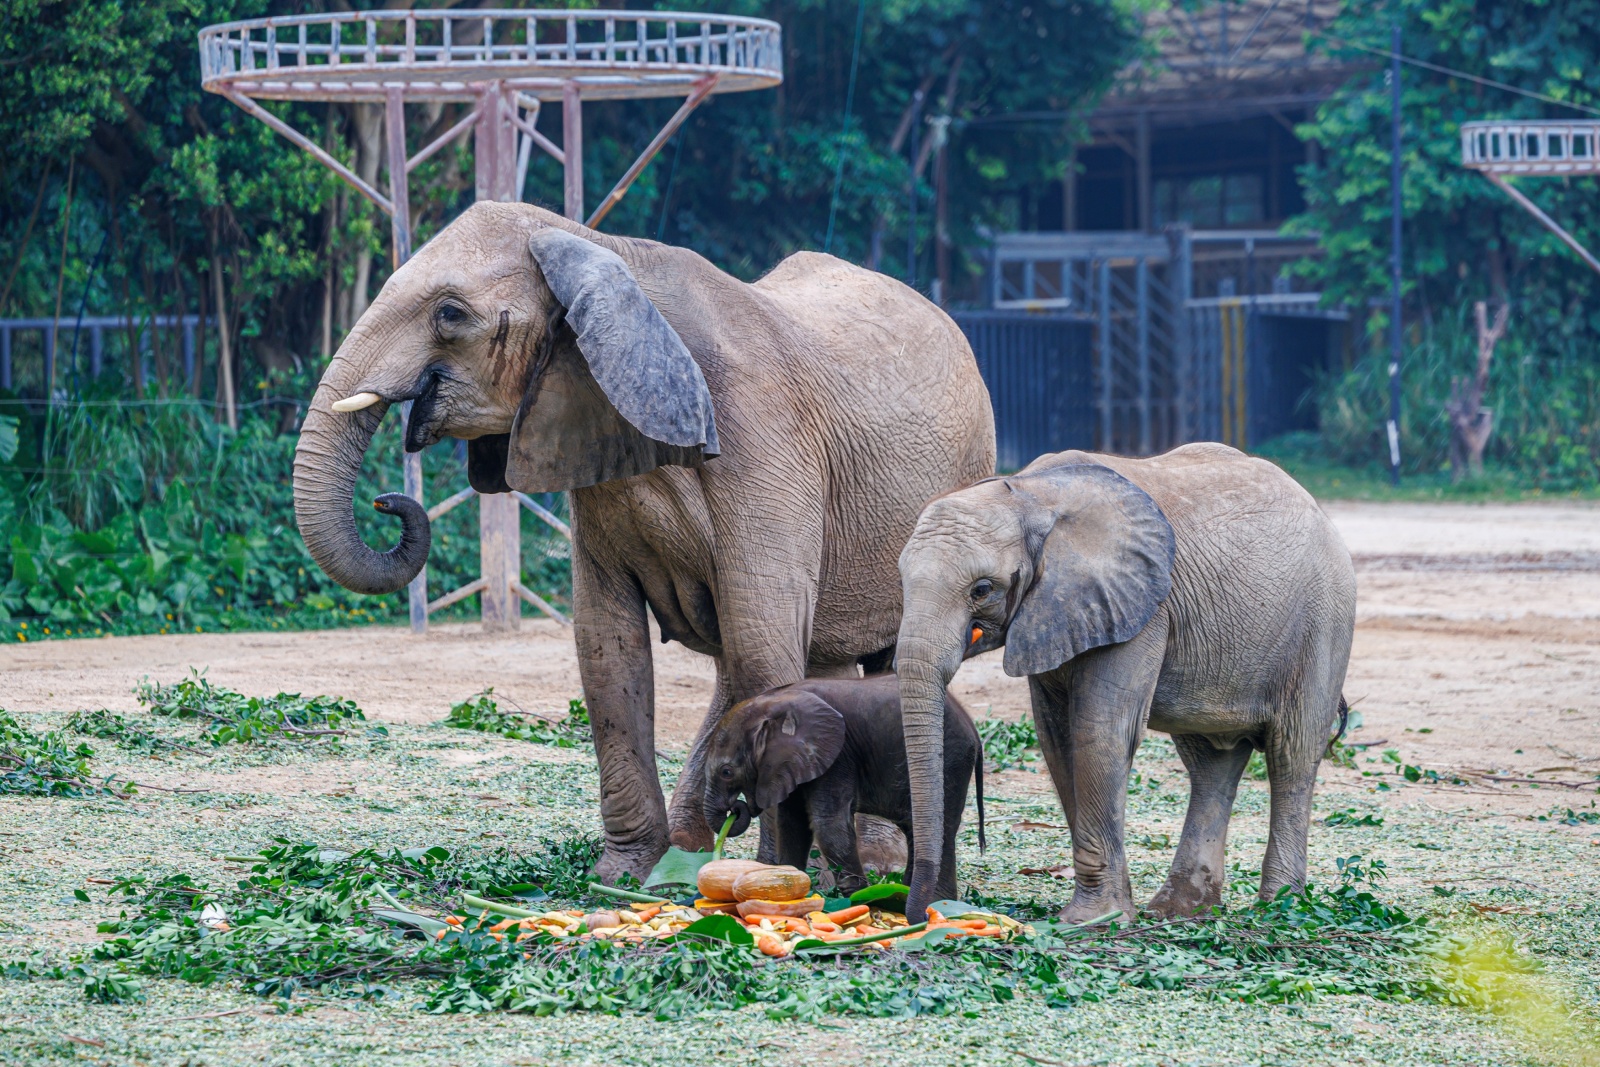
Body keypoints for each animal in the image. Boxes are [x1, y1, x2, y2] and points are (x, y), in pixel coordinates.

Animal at [700, 675, 984, 897]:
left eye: (726, 772)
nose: (736, 809)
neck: (773, 702)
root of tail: (972, 725)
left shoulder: (838, 755)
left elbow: (829, 825)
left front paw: (864, 899)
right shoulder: (793, 763)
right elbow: (792, 823)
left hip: (951, 759)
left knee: (941, 827)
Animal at [893, 443, 1356, 923]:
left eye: (982, 589)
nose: (923, 914)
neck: (1030, 494)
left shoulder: (1141, 608)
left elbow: (1100, 731)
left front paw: (1092, 920)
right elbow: (1057, 737)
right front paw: (1114, 913)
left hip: (1324, 622)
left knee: (1293, 754)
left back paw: (1279, 909)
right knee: (1211, 762)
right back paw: (1179, 911)